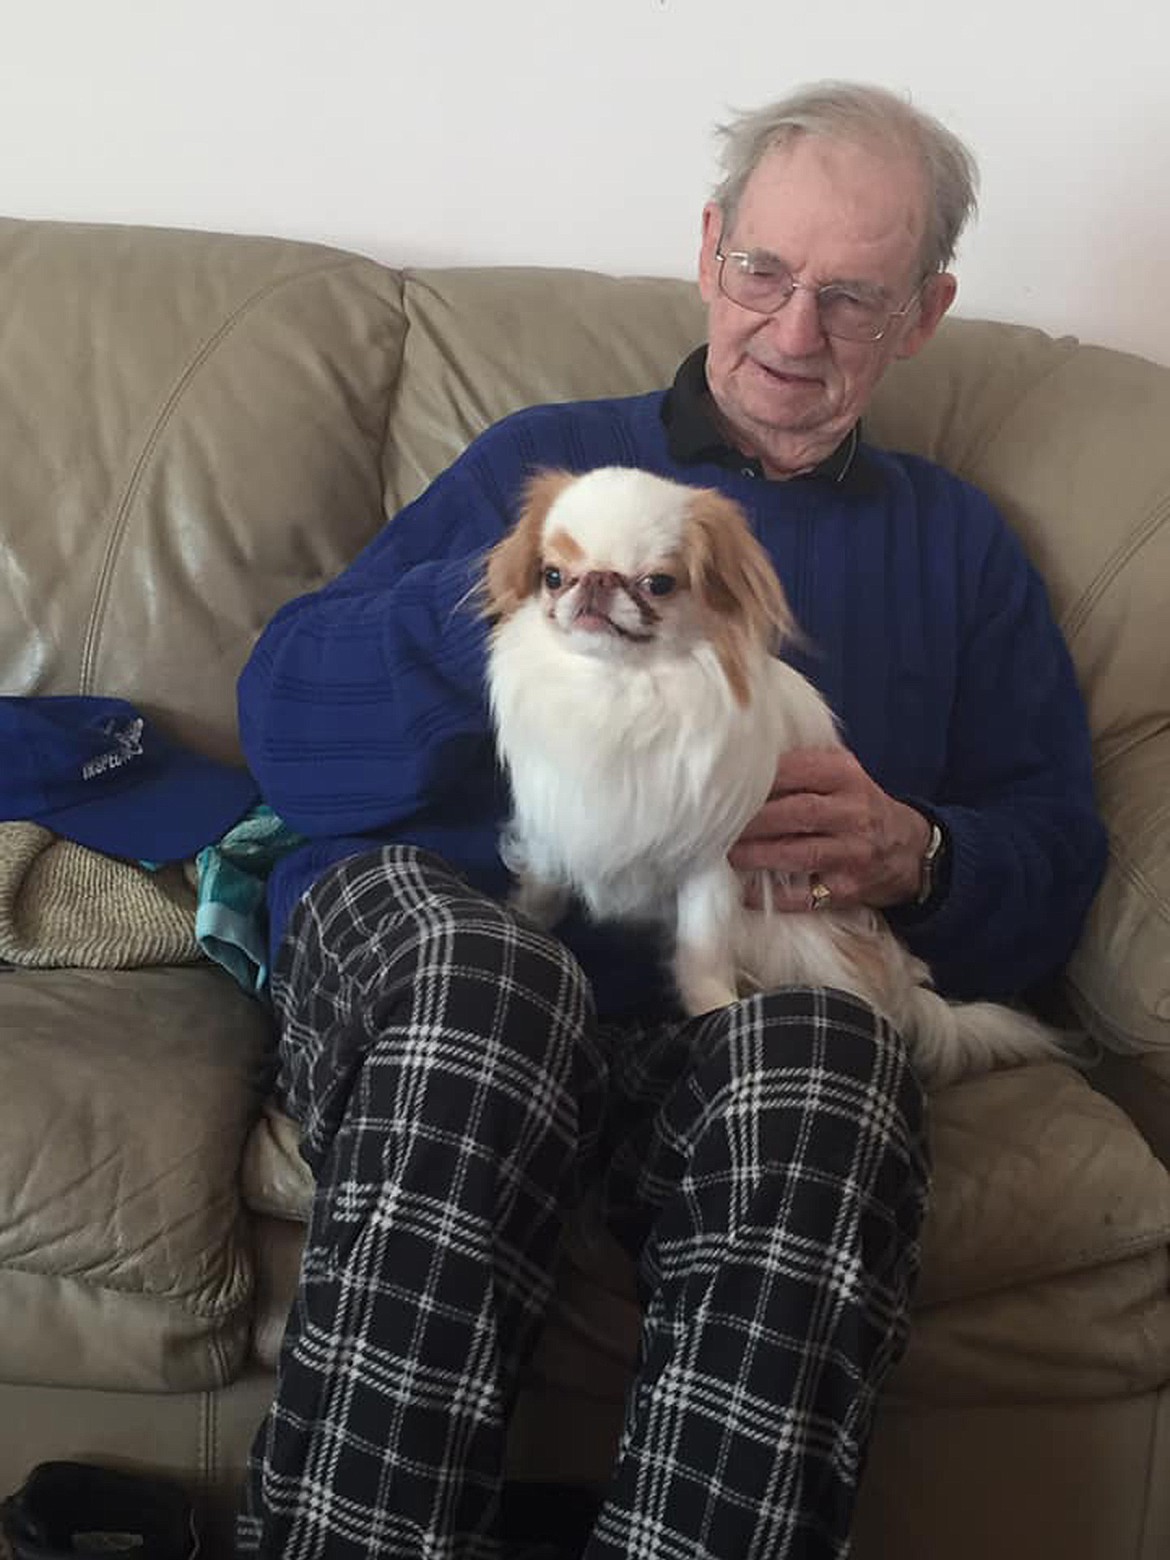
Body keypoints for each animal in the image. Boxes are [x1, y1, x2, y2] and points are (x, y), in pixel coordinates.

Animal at [480, 461, 1067, 1085]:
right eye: (553, 575)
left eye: (658, 584)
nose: (593, 582)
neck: (622, 689)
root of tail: (901, 983)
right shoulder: (556, 829)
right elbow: (541, 892)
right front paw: (522, 921)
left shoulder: (713, 864)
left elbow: (702, 954)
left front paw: (715, 1013)